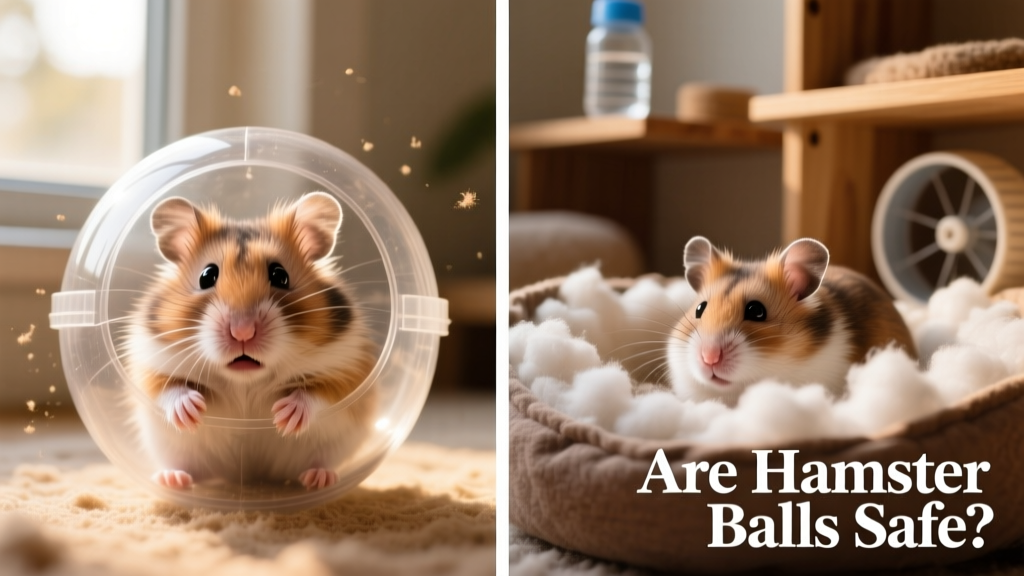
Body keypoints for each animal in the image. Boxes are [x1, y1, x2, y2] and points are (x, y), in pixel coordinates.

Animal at [123, 192, 377, 491]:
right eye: (207, 275)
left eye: (280, 275)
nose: (242, 331)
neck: (245, 381)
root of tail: (247, 477)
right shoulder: (151, 363)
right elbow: (167, 388)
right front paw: (192, 410)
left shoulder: (349, 368)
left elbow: (320, 392)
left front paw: (285, 416)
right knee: (190, 469)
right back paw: (172, 479)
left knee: (319, 463)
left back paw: (319, 479)